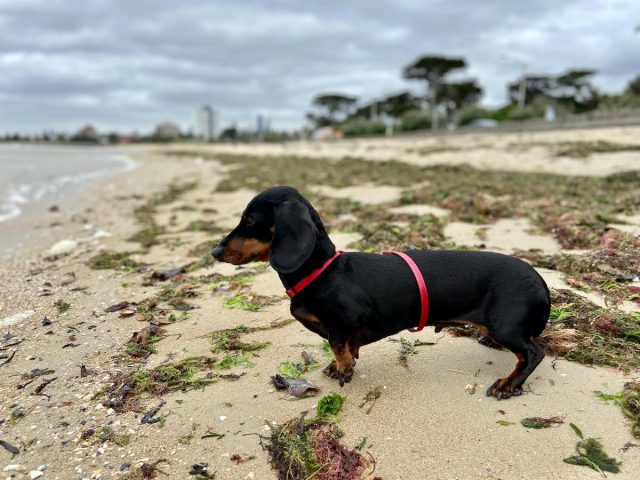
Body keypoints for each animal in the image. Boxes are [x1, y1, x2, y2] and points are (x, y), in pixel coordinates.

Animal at [211, 186, 552, 400]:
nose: (214, 251)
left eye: (250, 221)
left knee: (533, 353)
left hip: (504, 326)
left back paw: (508, 384)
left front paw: (344, 368)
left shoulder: (349, 318)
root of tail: (541, 281)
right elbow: (345, 345)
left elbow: (337, 343)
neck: (321, 271)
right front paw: (341, 364)